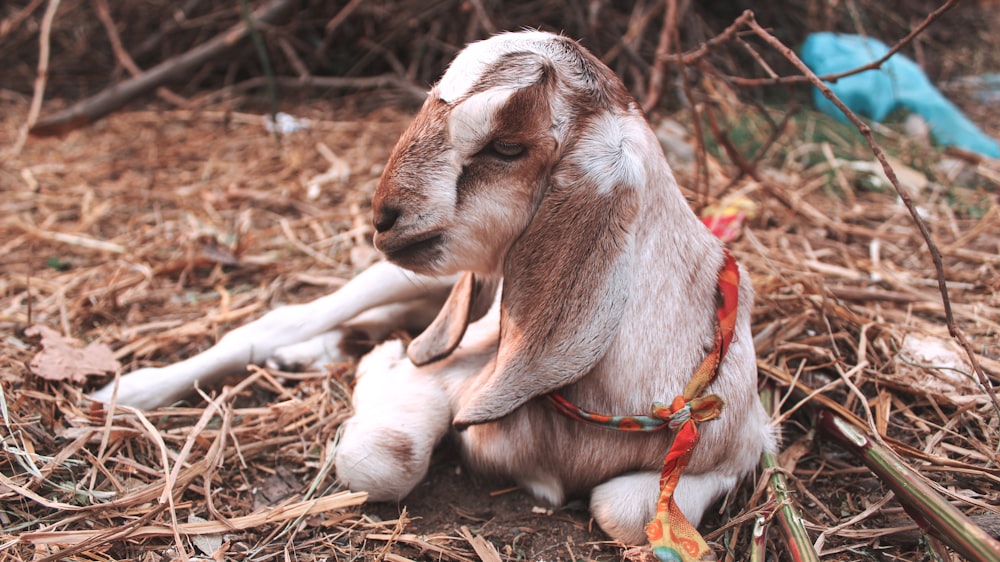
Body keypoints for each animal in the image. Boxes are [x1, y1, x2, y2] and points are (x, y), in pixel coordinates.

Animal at [92, 31, 772, 548]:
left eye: (507, 146)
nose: (383, 218)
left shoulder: (747, 445)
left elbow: (626, 511)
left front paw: (376, 356)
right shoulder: (459, 364)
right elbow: (382, 458)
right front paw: (383, 367)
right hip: (413, 273)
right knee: (285, 320)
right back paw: (130, 390)